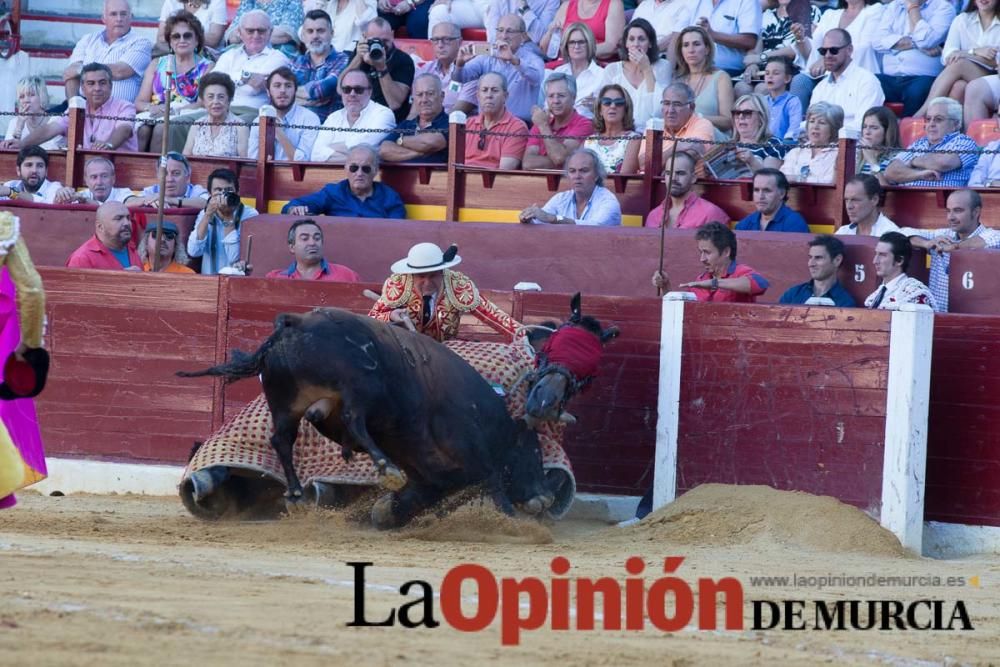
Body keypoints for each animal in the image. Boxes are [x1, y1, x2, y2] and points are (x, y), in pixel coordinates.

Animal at [180, 306, 556, 528]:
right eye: (534, 453)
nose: (545, 496)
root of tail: (293, 324)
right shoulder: (472, 455)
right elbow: (495, 485)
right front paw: (513, 523)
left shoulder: (432, 479)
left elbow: (409, 500)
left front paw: (387, 511)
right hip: (359, 387)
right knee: (353, 421)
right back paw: (384, 468)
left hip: (288, 403)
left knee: (283, 439)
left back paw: (299, 494)